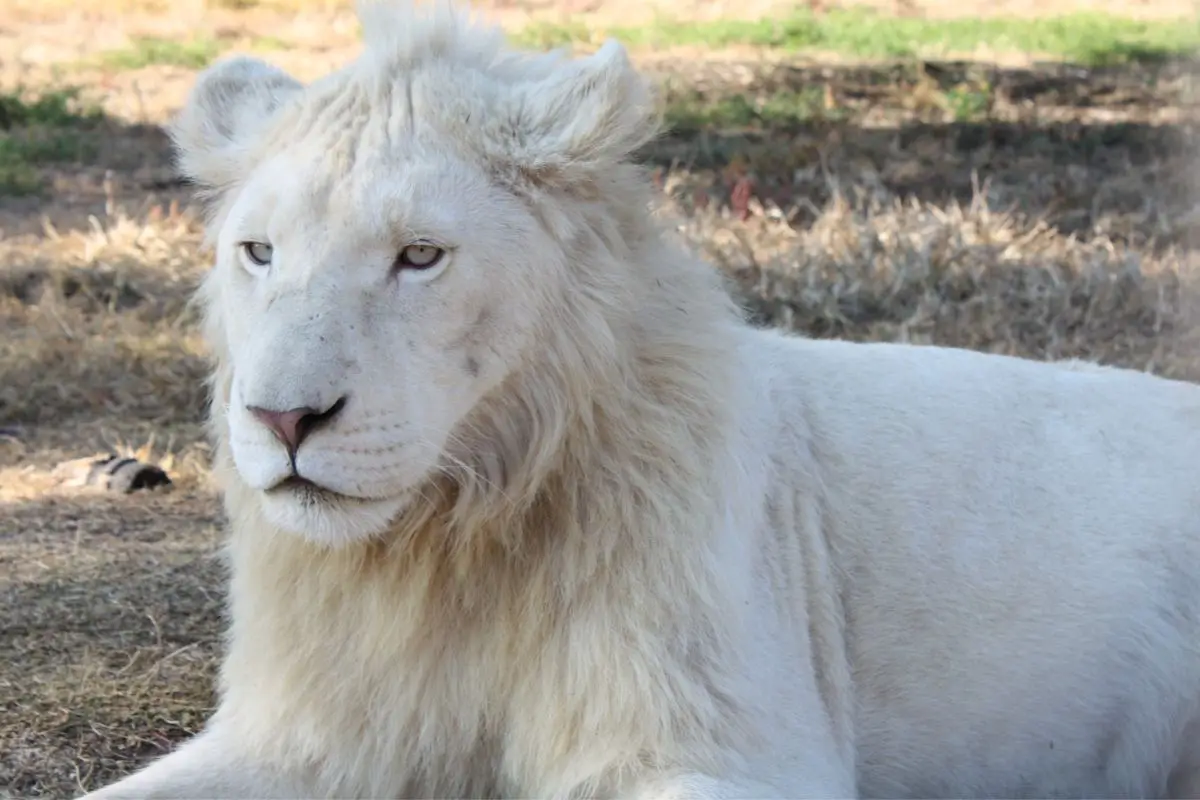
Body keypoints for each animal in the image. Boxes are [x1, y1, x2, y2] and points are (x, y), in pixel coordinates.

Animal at [77, 3, 1200, 796]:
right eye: (259, 251)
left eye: (420, 256)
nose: (282, 421)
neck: (447, 540)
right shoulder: (306, 736)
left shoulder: (724, 739)